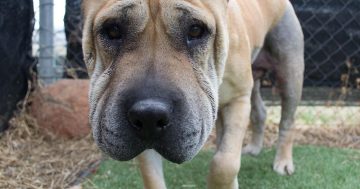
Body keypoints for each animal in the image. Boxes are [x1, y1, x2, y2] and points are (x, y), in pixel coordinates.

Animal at [81, 0, 304, 188]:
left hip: (290, 72)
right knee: (259, 113)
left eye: (196, 30)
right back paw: (255, 147)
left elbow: (224, 164)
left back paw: (283, 161)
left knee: (288, 121)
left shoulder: (238, 99)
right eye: (112, 30)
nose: (149, 115)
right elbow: (152, 177)